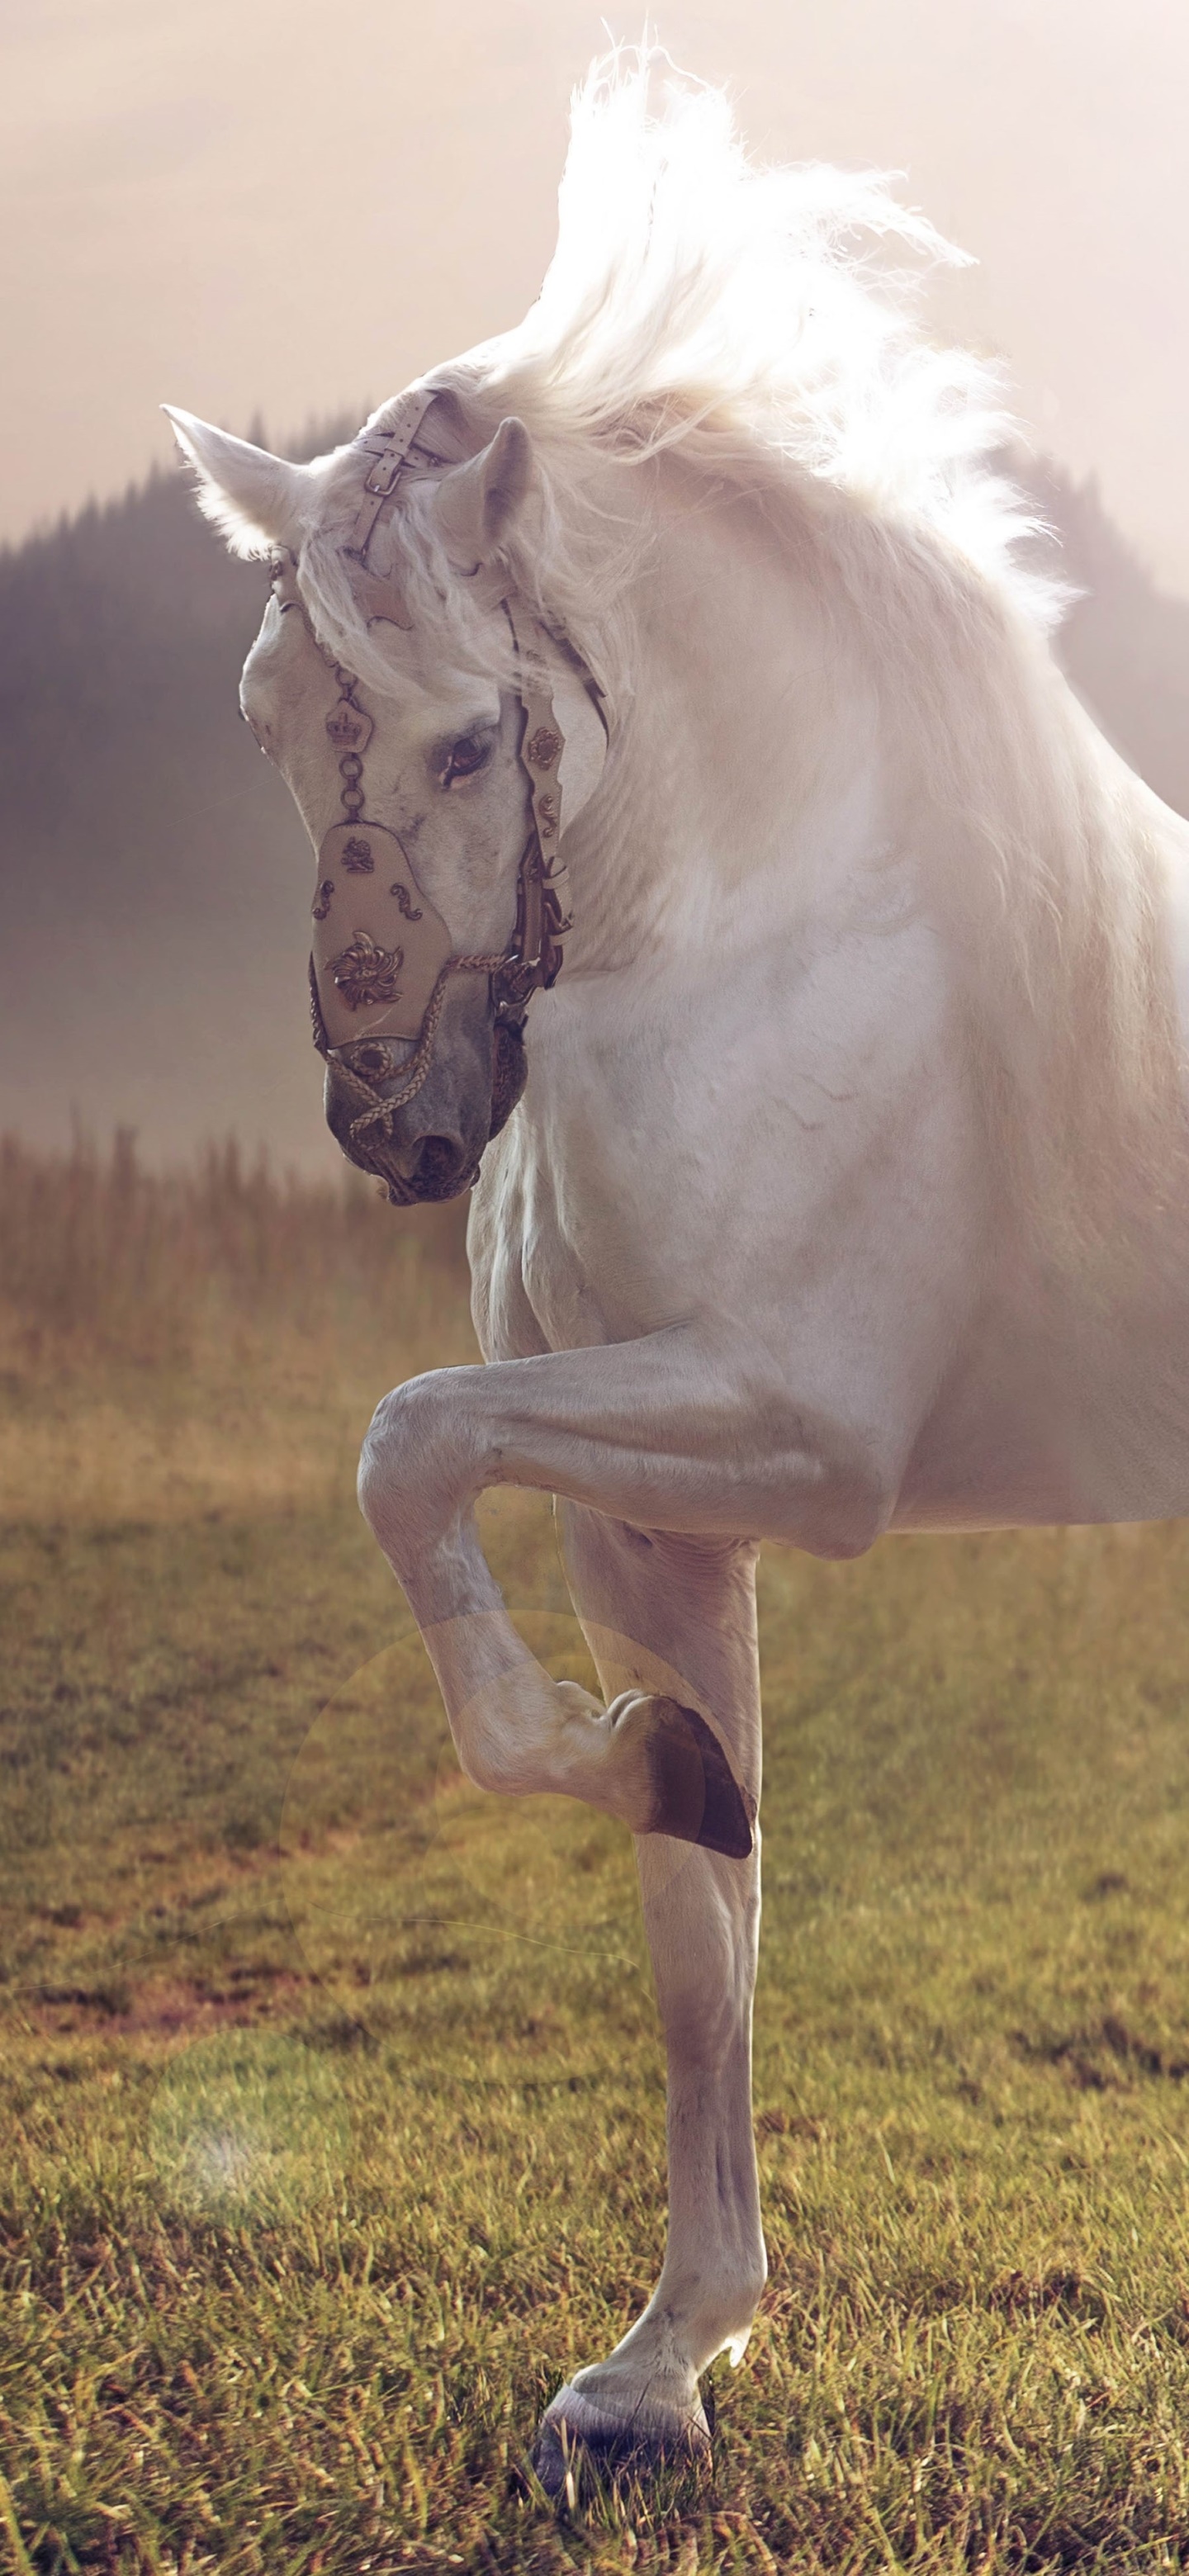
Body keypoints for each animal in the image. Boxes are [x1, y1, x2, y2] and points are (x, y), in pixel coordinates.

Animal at [166, 52, 1189, 2480]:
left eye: (465, 734)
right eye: (264, 720)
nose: (397, 1124)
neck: (765, 928)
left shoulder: (797, 1430)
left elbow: (401, 1446)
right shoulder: (648, 1517)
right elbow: (690, 1934)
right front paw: (660, 2363)